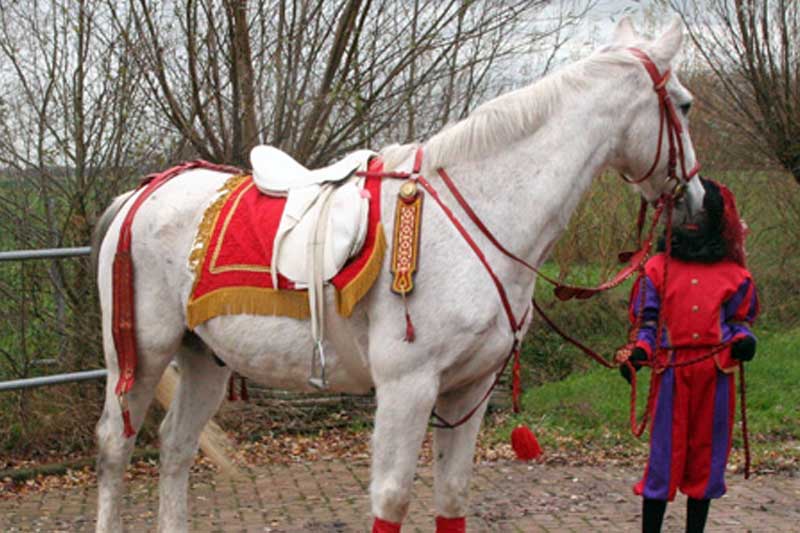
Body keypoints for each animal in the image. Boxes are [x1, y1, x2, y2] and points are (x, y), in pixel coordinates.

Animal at [94, 16, 704, 532]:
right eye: (685, 103)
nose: (696, 201)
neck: (480, 212)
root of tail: (140, 195)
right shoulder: (407, 387)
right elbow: (391, 500)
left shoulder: (469, 388)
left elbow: (451, 498)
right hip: (140, 356)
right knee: (115, 448)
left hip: (203, 358)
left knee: (175, 447)